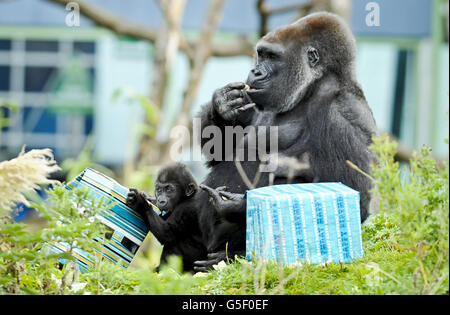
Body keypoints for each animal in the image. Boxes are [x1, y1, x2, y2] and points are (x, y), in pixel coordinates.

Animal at [192, 11, 376, 270]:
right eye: (261, 54)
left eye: (272, 57)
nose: (255, 72)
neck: (313, 85)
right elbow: (219, 152)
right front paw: (222, 105)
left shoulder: (343, 111)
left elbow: (355, 194)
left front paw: (239, 206)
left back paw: (232, 254)